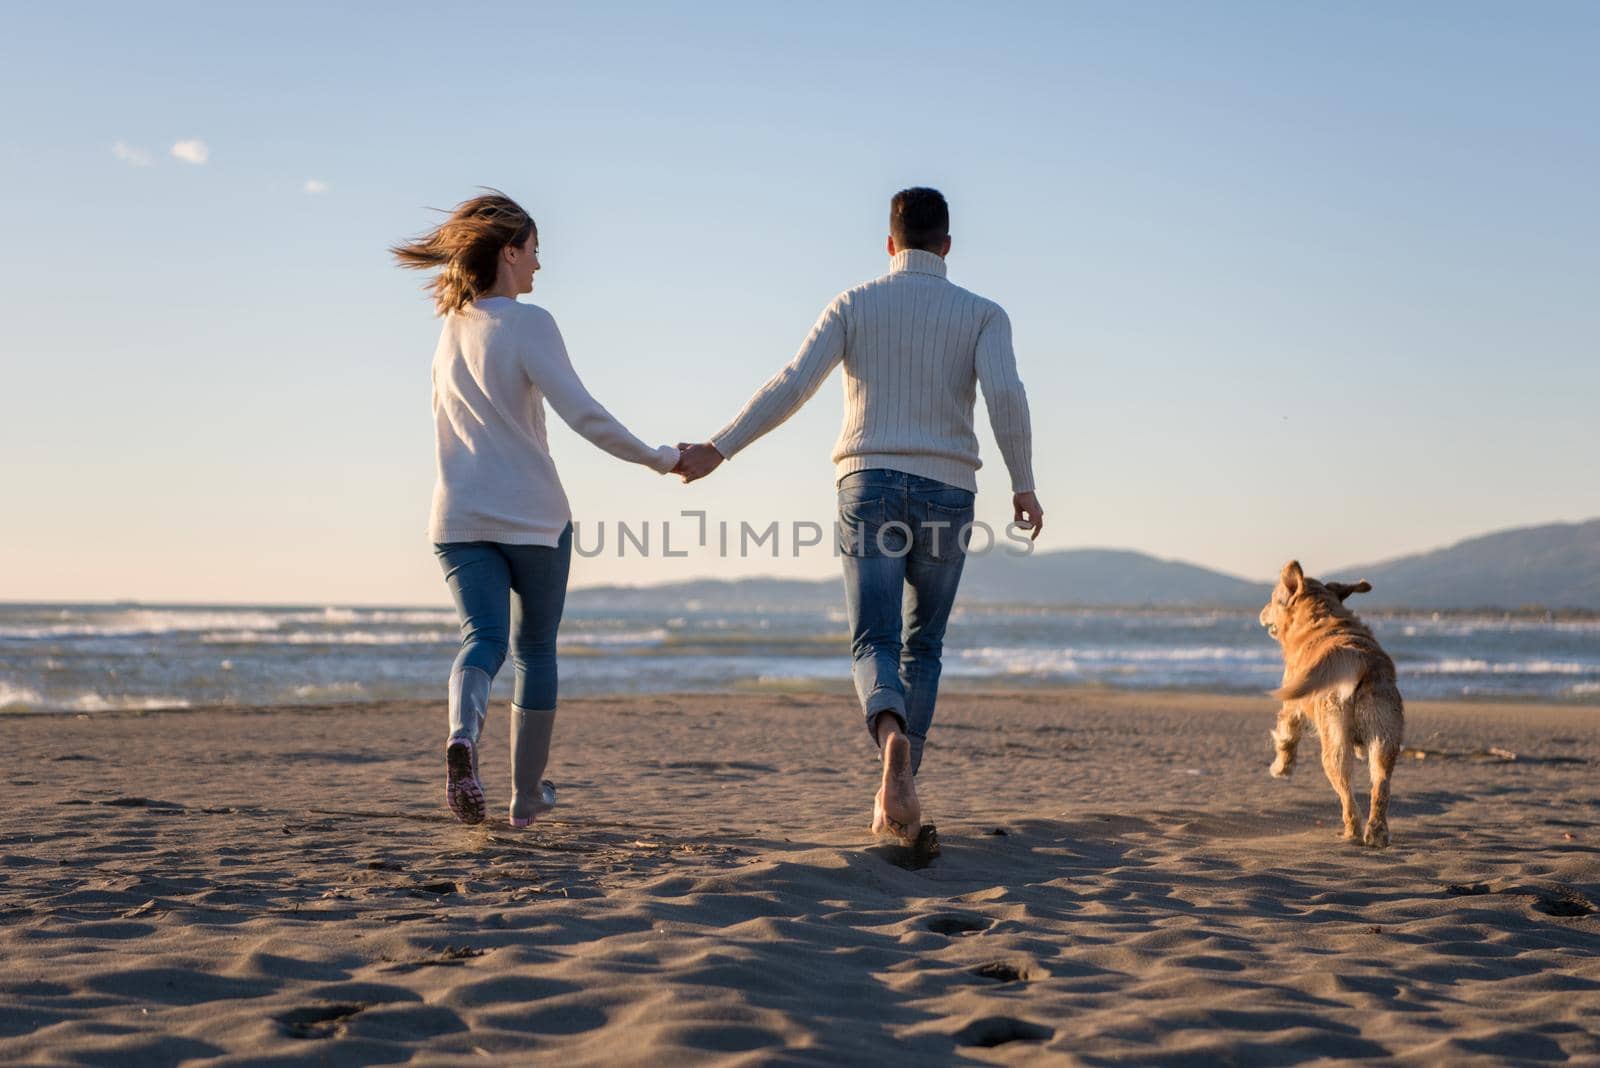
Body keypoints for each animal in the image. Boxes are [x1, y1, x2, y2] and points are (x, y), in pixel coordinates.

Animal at [1254, 562, 1408, 844]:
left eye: (1273, 599)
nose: (1262, 612)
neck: (1321, 613)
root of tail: (1361, 659)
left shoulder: (1292, 704)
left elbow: (1286, 737)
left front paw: (1281, 768)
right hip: (1385, 733)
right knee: (1381, 783)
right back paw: (1377, 832)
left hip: (1333, 741)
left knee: (1346, 791)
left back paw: (1351, 831)